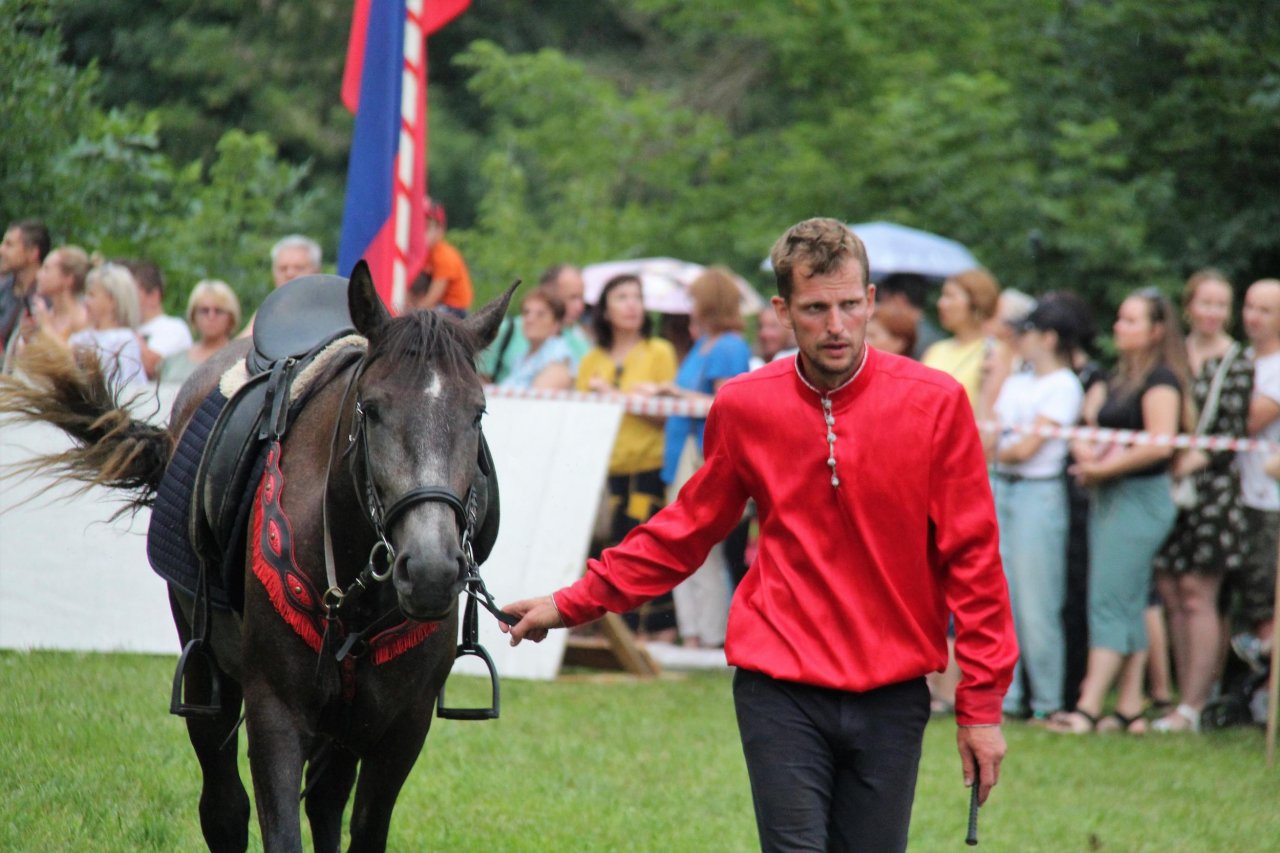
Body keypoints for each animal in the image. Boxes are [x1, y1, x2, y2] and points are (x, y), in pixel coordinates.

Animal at [2, 262, 519, 845]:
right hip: (207, 670)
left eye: (477, 414)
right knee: (224, 807)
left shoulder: (400, 730)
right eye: (371, 409)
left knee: (325, 801)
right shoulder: (276, 714)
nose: (430, 570)